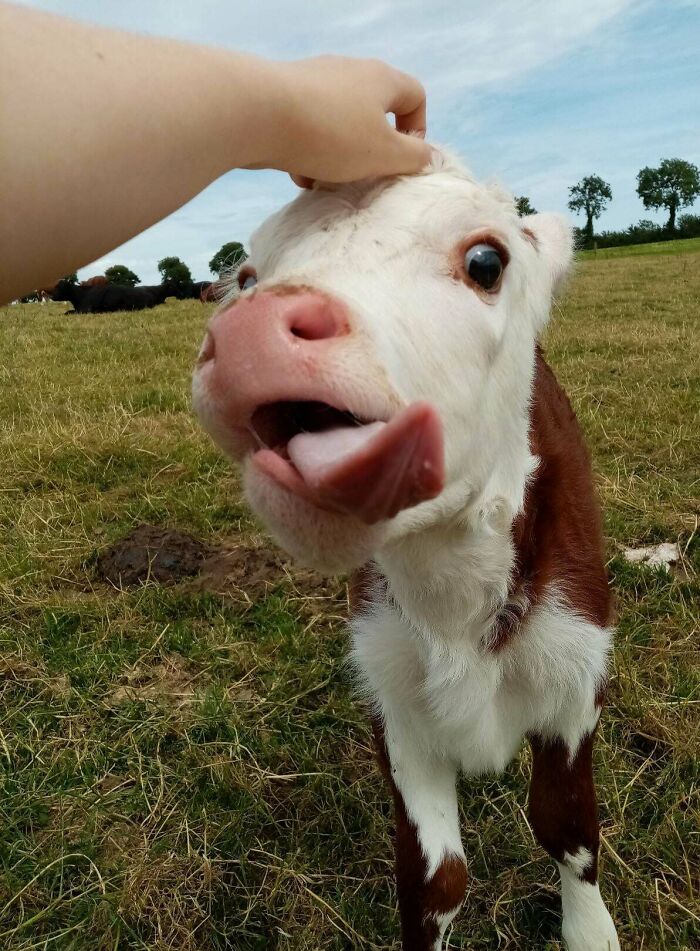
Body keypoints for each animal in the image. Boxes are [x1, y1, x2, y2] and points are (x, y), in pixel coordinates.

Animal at [192, 149, 621, 951]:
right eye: (249, 277)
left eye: (486, 260)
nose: (250, 335)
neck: (453, 592)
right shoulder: (394, 700)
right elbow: (433, 880)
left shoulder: (575, 673)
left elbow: (568, 826)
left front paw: (589, 929)